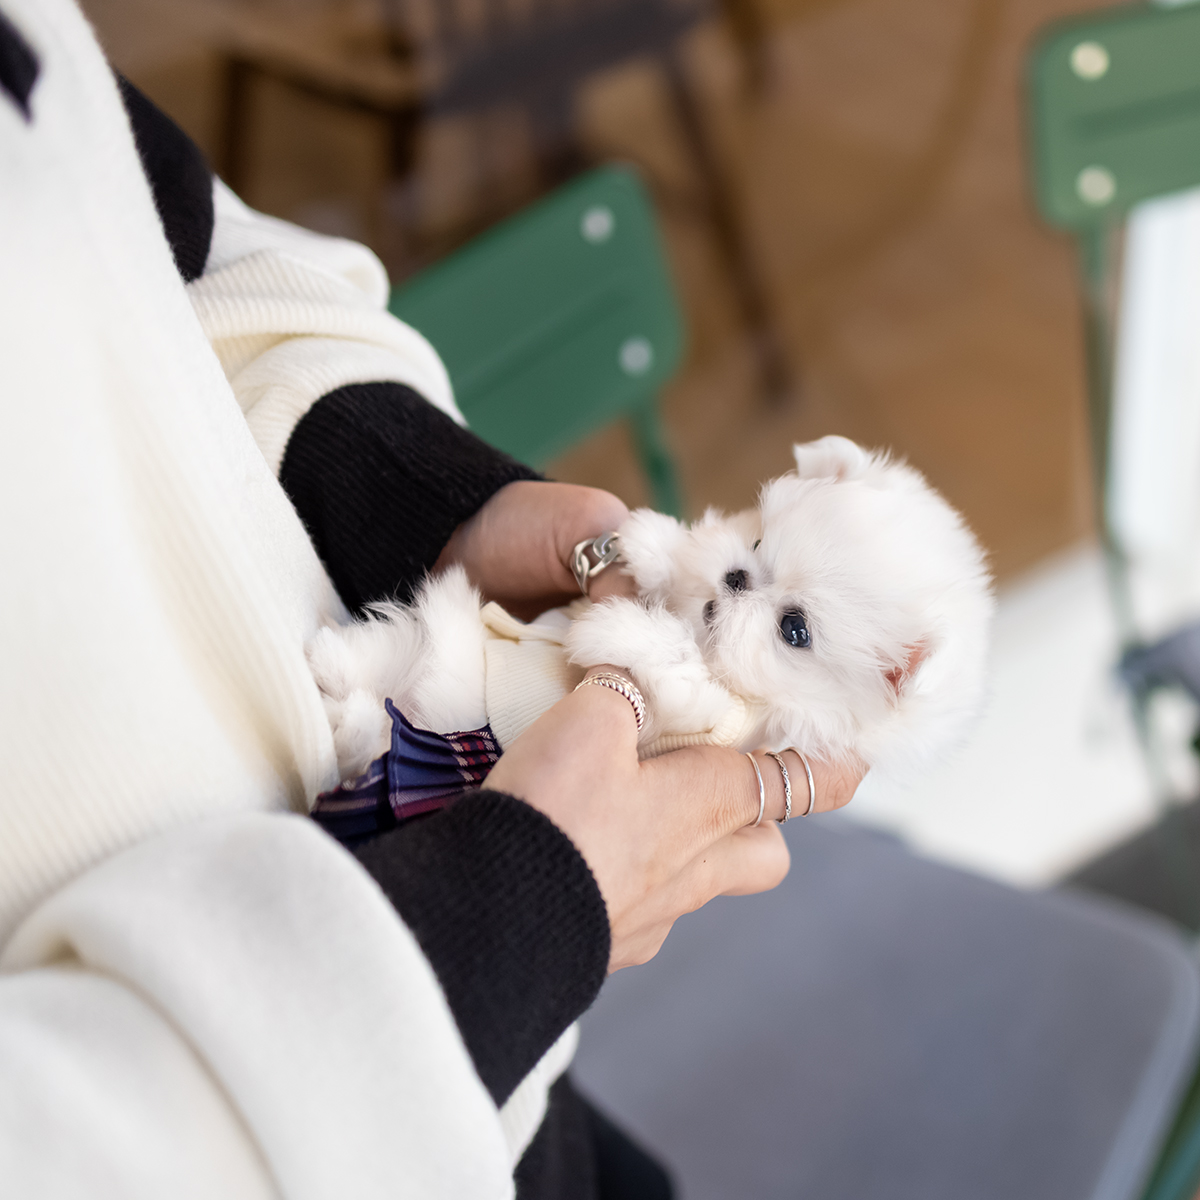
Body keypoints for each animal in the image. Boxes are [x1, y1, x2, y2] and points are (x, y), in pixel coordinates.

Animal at [309, 436, 993, 782]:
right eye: (758, 544)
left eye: (794, 630)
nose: (737, 579)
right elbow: (681, 574)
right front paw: (654, 542)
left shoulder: (714, 719)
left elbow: (681, 665)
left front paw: (615, 627)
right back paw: (329, 668)